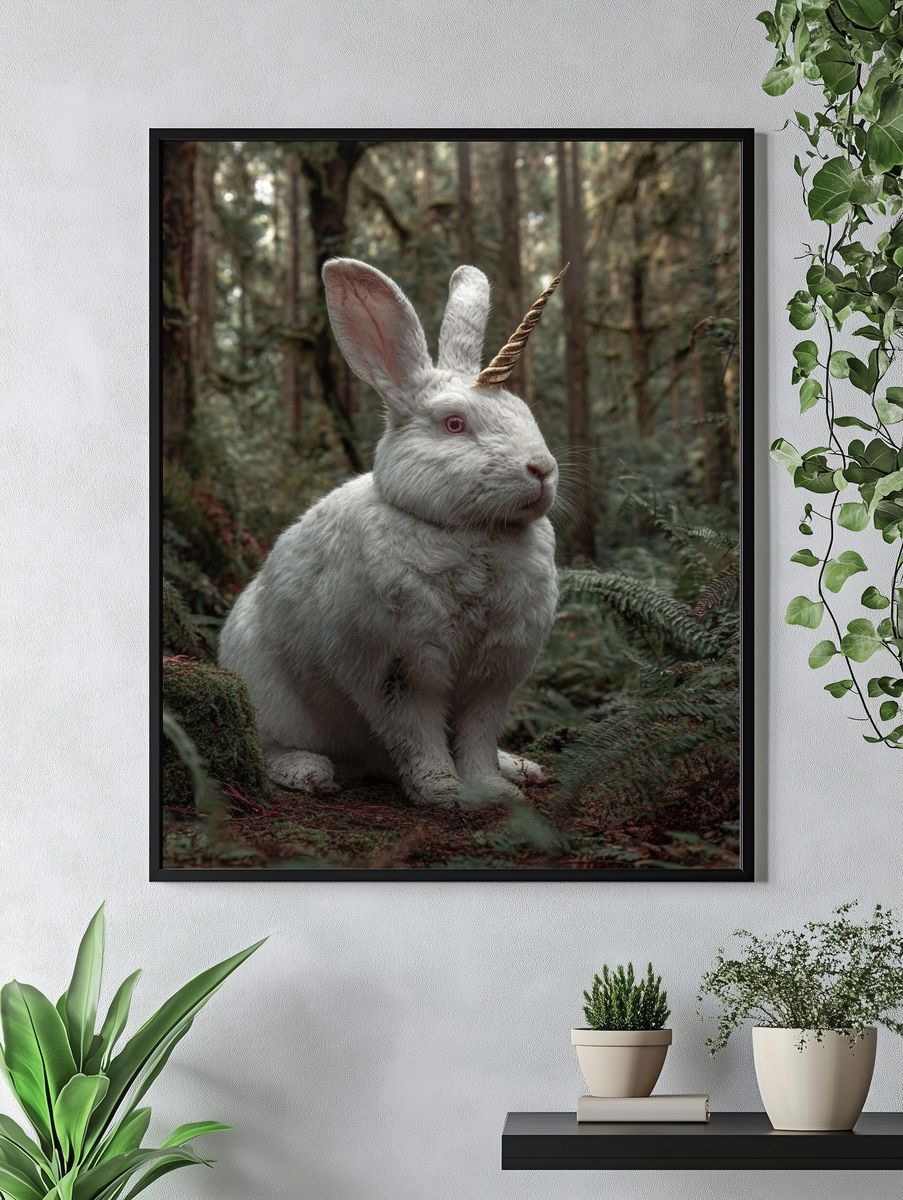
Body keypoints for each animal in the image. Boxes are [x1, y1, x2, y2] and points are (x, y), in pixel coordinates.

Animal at [218, 257, 563, 806]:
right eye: (453, 424)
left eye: (525, 413)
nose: (543, 469)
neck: (470, 533)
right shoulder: (398, 670)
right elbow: (417, 733)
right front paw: (444, 793)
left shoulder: (493, 675)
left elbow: (478, 736)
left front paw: (495, 791)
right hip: (271, 697)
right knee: (270, 745)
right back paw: (306, 771)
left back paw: (521, 767)